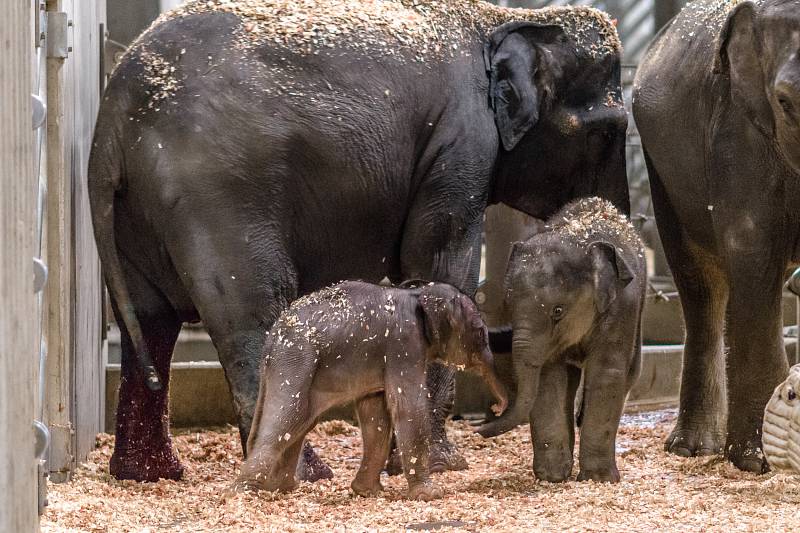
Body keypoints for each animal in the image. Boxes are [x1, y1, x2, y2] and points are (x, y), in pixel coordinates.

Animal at [231, 280, 506, 500]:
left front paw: (367, 492)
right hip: (295, 362)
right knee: (287, 418)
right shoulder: (404, 346)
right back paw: (242, 493)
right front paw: (430, 495)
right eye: (480, 332)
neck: (419, 293)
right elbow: (409, 409)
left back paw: (281, 488)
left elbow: (375, 414)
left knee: (300, 423)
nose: (496, 407)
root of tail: (270, 343)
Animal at [478, 195, 648, 482]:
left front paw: (597, 479)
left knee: (629, 373)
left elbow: (607, 373)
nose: (478, 427)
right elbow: (550, 377)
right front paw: (552, 477)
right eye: (509, 306)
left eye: (558, 311)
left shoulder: (622, 306)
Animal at [636, 1, 796, 474]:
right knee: (700, 287)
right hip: (662, 173)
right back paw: (692, 447)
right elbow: (752, 247)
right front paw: (756, 462)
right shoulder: (737, 130)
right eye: (785, 102)